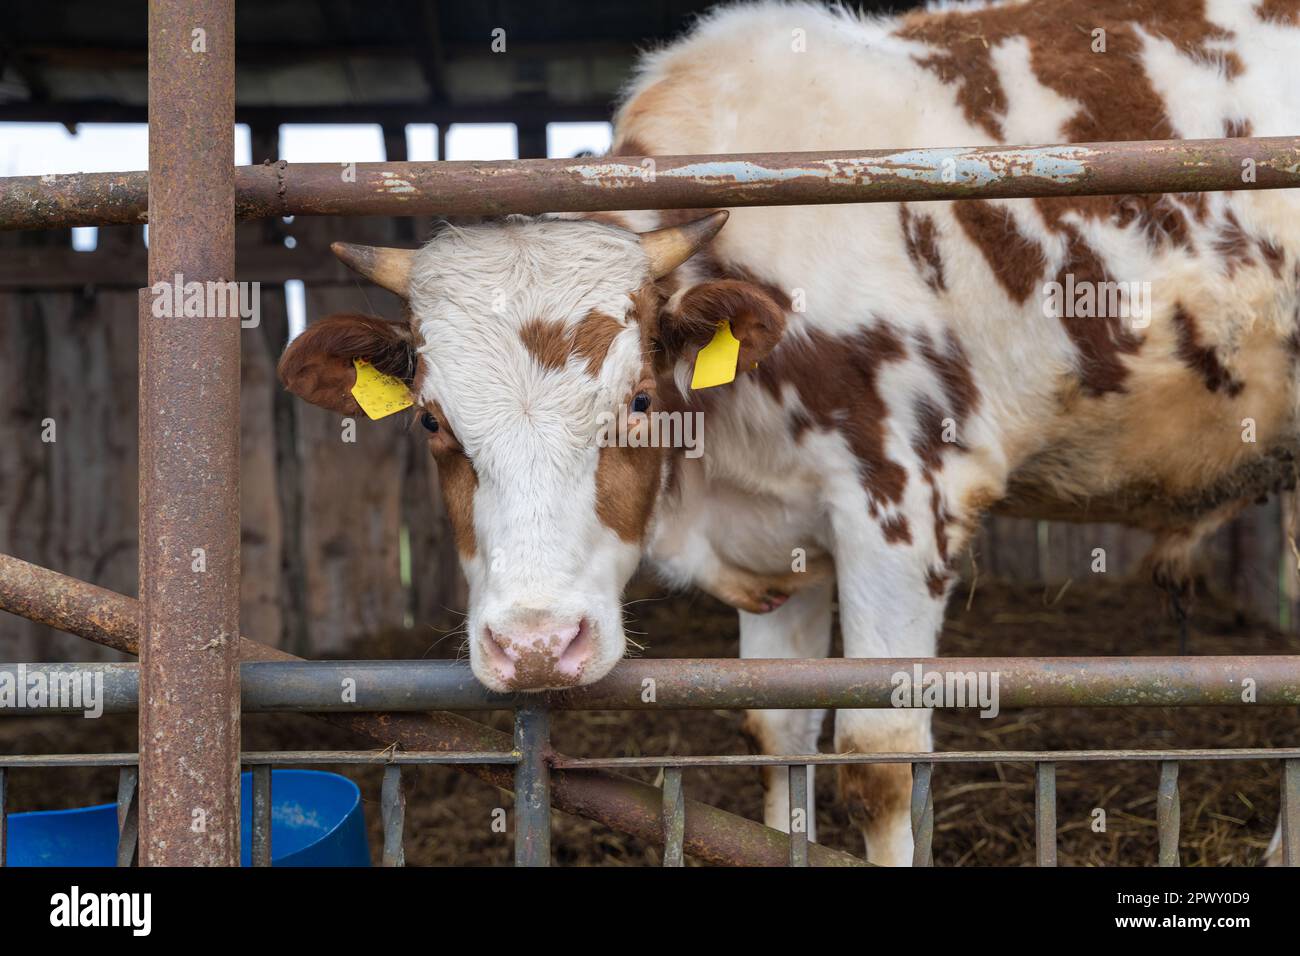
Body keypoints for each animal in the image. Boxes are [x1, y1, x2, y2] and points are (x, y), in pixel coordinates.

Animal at [278, 0, 1300, 865]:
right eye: (432, 418)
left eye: (638, 403)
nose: (535, 647)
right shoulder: (778, 535)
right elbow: (777, 728)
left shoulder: (904, 505)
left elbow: (879, 758)